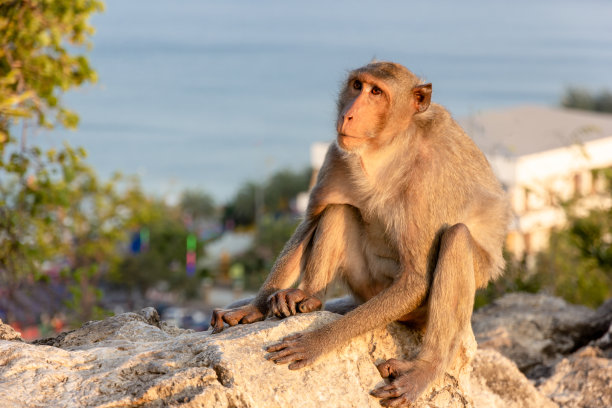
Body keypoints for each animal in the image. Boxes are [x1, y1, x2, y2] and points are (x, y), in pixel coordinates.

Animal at [212, 62, 512, 406]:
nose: (349, 114)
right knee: (339, 210)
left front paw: (317, 342)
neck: (386, 149)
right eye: (358, 85)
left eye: (376, 92)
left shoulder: (425, 180)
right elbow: (310, 222)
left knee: (457, 238)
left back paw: (426, 366)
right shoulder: (337, 153)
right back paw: (308, 298)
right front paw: (253, 307)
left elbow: (416, 279)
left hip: (416, 308)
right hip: (366, 287)